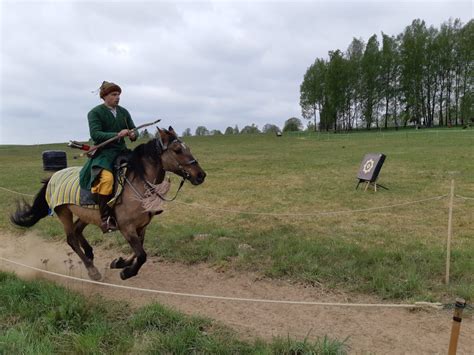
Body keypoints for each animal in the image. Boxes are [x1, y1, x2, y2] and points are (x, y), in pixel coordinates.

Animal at [11, 127, 206, 280]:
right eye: (177, 150)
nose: (200, 175)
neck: (138, 184)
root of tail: (53, 176)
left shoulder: (141, 227)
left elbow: (139, 249)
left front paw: (120, 263)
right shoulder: (127, 227)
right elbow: (142, 254)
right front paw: (127, 272)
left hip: (87, 214)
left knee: (77, 230)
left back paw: (90, 254)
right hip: (63, 212)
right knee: (71, 238)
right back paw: (92, 270)